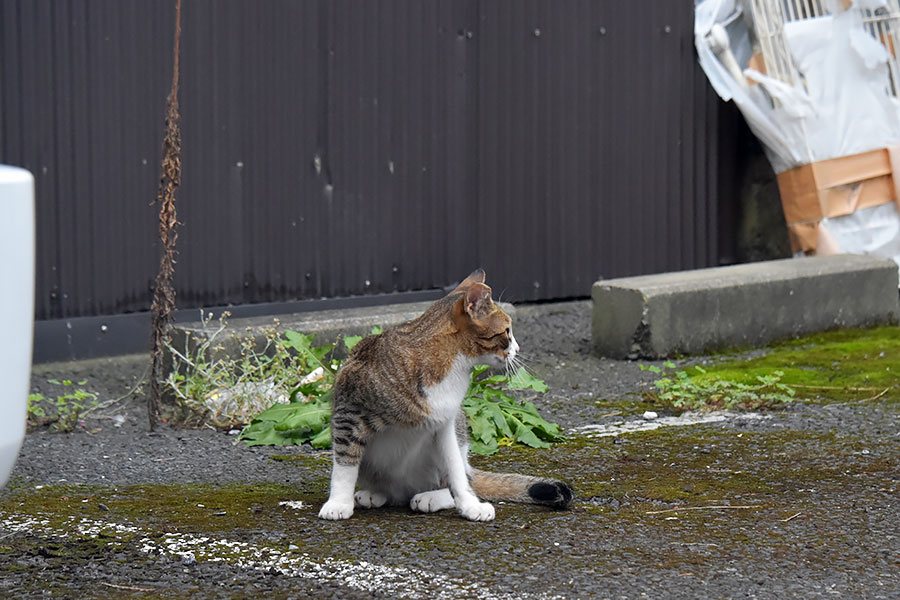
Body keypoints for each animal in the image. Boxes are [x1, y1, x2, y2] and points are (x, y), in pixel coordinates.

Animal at [320, 268, 572, 520]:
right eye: (507, 331)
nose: (518, 349)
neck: (453, 366)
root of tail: (402, 490)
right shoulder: (348, 413)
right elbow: (345, 465)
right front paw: (339, 503)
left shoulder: (445, 424)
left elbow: (457, 474)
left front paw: (471, 506)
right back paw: (375, 494)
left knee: (465, 476)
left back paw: (430, 497)